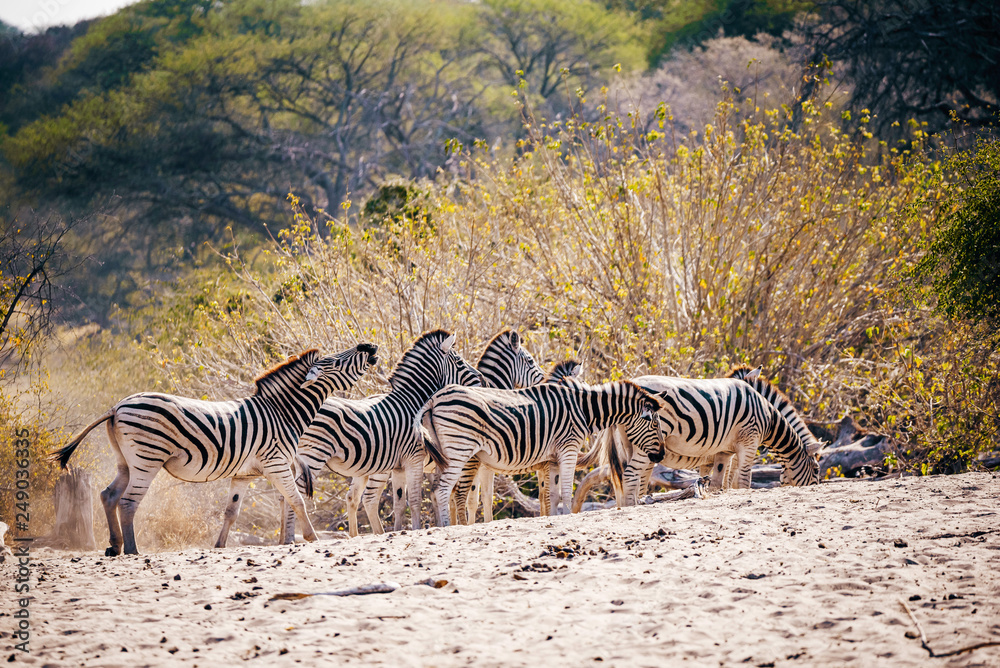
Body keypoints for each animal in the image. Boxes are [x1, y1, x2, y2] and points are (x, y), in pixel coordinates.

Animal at [49, 344, 378, 555]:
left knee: (108, 495)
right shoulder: (276, 463)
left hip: (125, 461)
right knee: (128, 501)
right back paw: (131, 550)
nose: (370, 346)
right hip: (147, 458)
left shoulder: (245, 474)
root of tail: (116, 407)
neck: (282, 412)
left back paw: (114, 546)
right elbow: (296, 500)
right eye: (334, 361)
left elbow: (232, 512)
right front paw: (310, 538)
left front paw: (220, 546)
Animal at [279, 330, 482, 540]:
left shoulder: (399, 466)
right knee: (298, 494)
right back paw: (295, 538)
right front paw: (419, 529)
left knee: (287, 494)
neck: (413, 401)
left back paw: (286, 539)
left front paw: (401, 530)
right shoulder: (415, 458)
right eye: (458, 361)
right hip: (316, 455)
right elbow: (417, 499)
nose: (480, 378)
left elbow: (401, 503)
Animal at [422, 379, 666, 526]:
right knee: (443, 489)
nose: (661, 456)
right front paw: (568, 515)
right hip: (459, 450)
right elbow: (567, 490)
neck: (583, 410)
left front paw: (555, 517)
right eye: (655, 424)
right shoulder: (568, 449)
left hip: (446, 455)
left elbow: (553, 494)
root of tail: (434, 398)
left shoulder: (553, 459)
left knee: (441, 490)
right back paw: (448, 526)